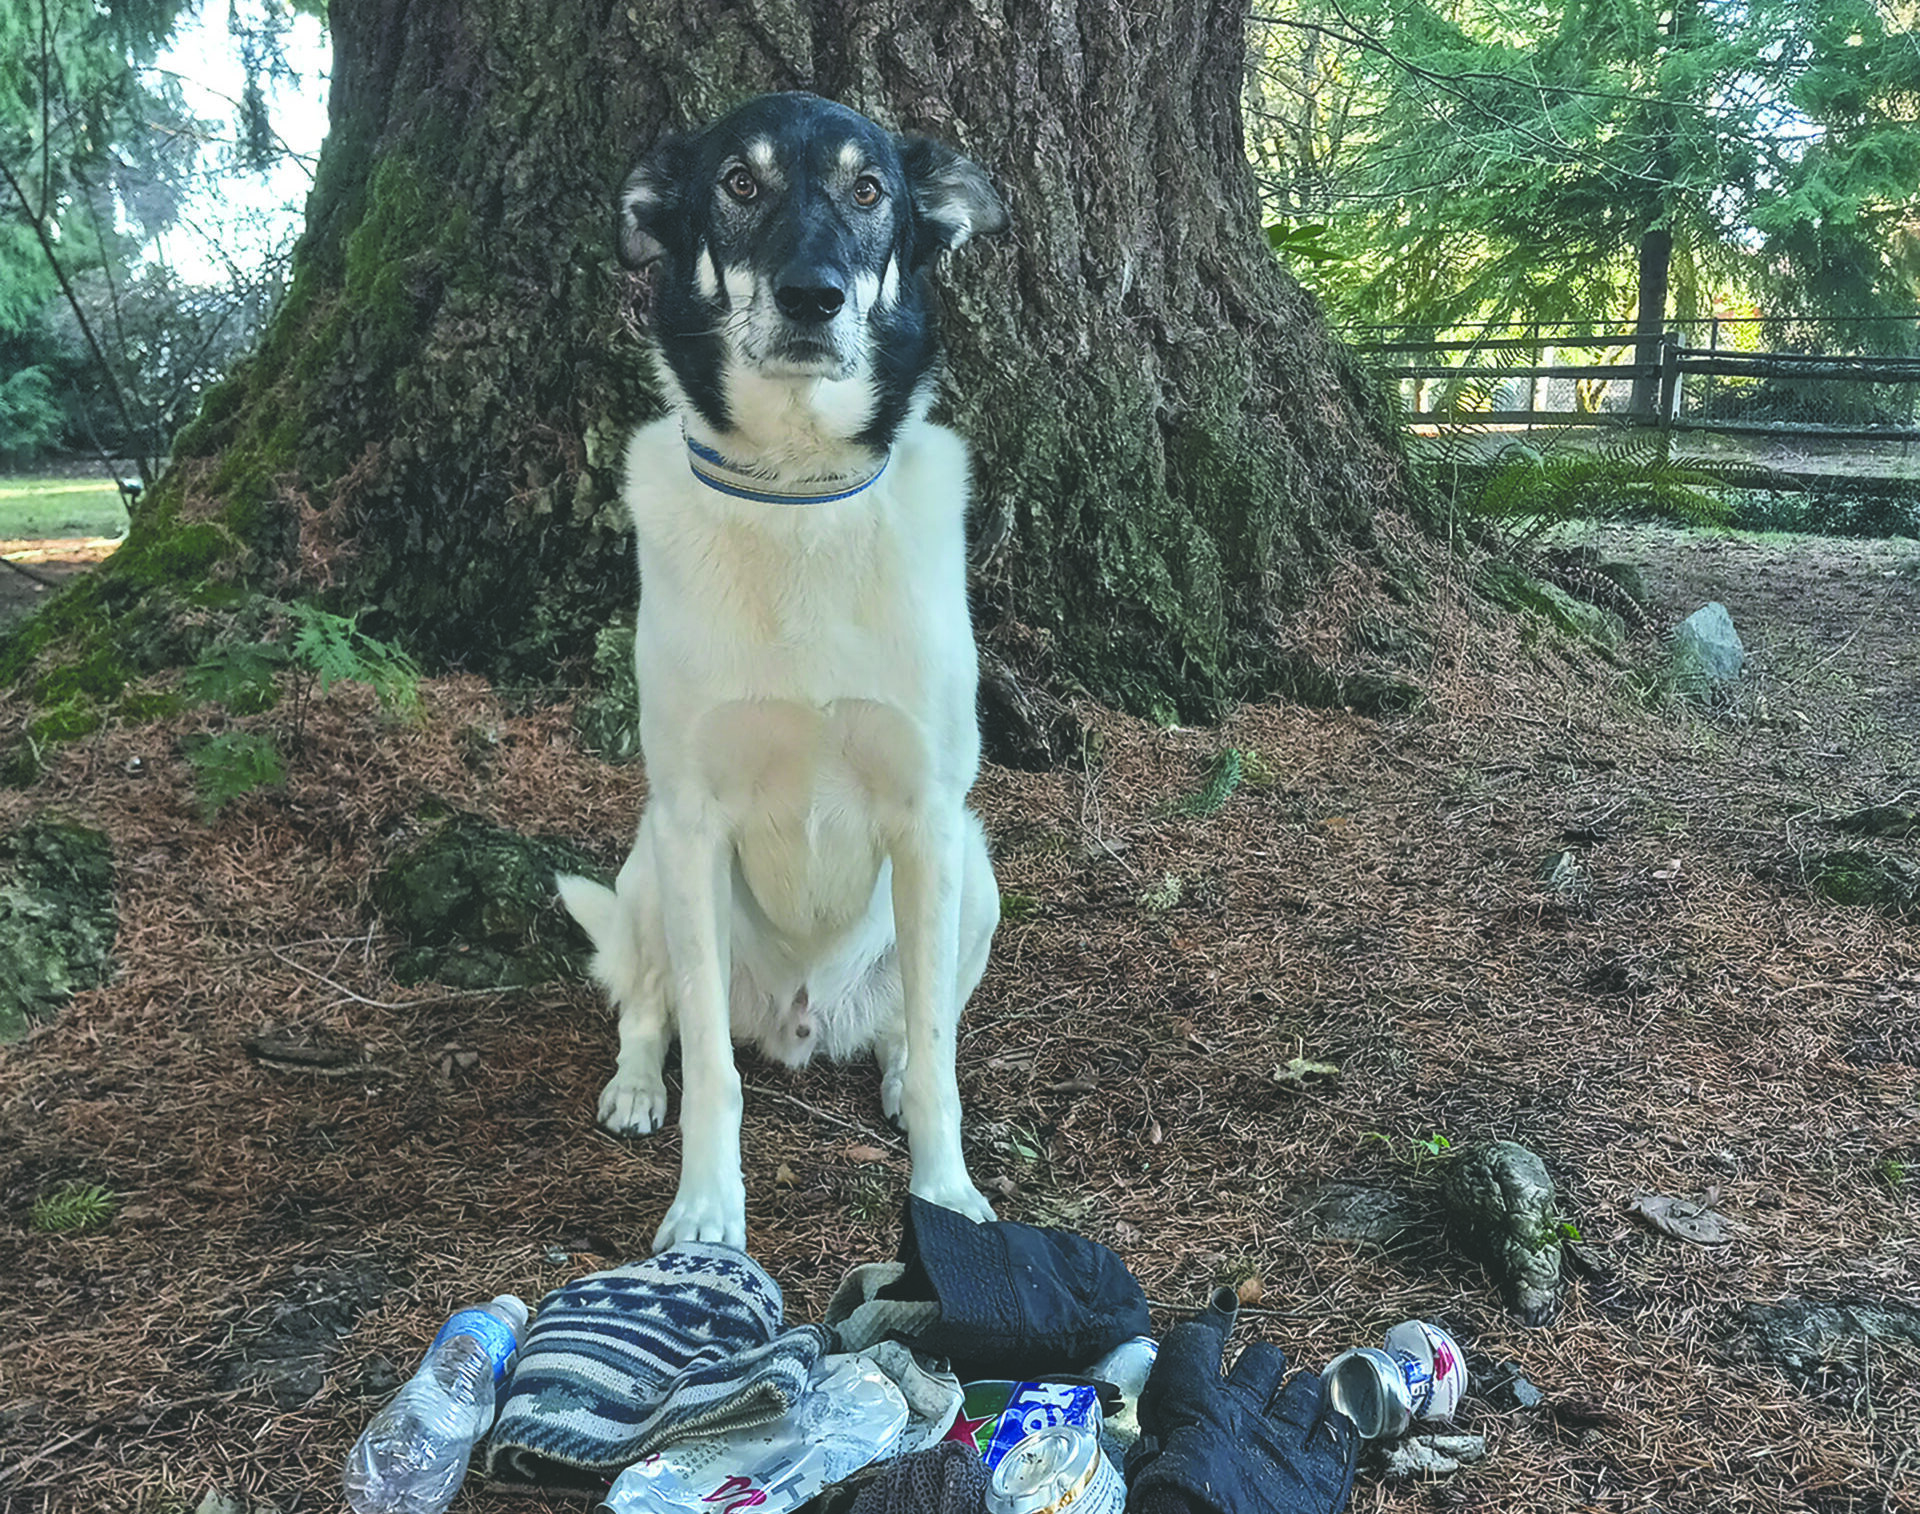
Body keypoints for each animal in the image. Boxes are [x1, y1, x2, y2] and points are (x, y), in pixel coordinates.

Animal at [556, 97, 1013, 1251]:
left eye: (870, 191)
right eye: (738, 183)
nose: (815, 295)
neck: (797, 490)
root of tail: (805, 1020)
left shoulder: (928, 816)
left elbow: (940, 1060)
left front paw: (945, 1197)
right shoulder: (691, 818)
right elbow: (713, 1075)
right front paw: (707, 1210)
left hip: (976, 870)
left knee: (913, 1027)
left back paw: (887, 1069)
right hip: (648, 865)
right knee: (651, 1005)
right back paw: (637, 1084)